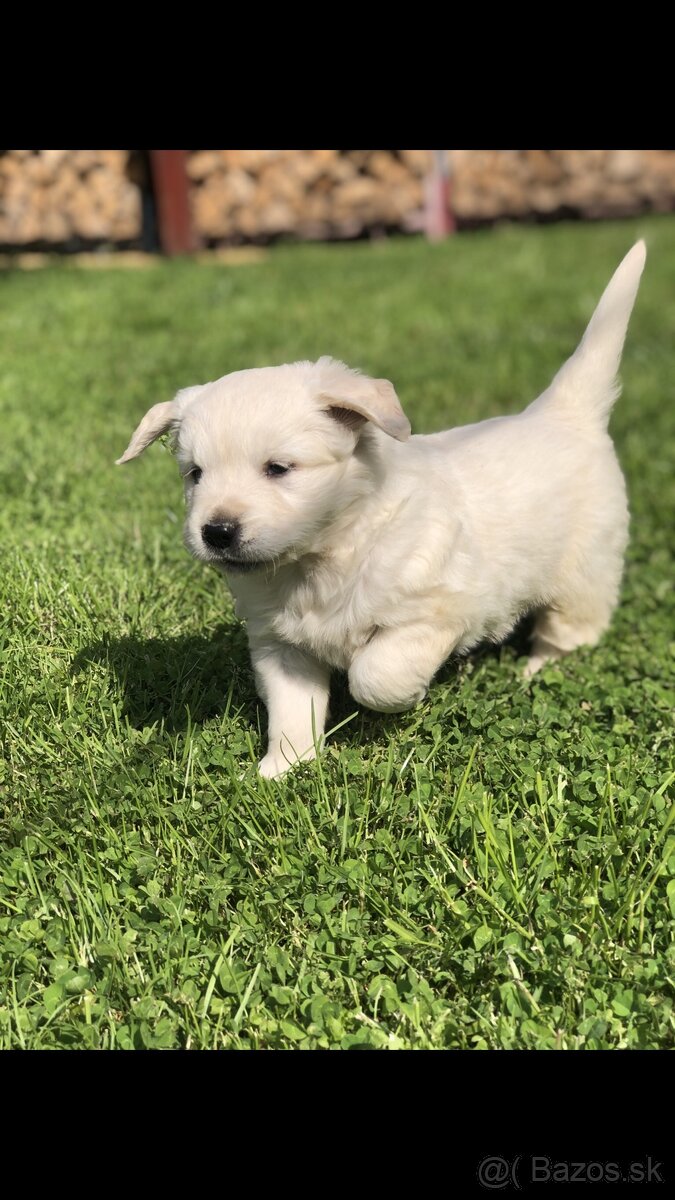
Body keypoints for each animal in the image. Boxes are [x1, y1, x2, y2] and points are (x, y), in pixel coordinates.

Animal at [118, 242, 643, 777]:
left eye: (278, 468)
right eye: (195, 474)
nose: (217, 532)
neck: (322, 558)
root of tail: (563, 414)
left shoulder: (435, 609)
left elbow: (375, 674)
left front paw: (404, 696)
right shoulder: (281, 646)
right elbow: (291, 709)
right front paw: (283, 768)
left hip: (585, 573)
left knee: (570, 632)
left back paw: (535, 668)